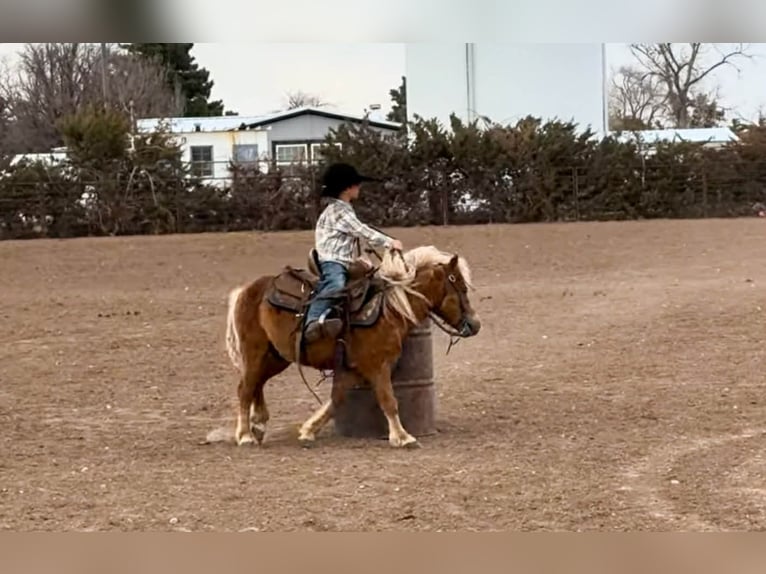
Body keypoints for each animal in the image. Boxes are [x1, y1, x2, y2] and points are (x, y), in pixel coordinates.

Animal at [224, 244, 482, 449]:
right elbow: (388, 400)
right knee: (245, 388)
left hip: (276, 356)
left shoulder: (352, 369)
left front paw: (308, 431)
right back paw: (245, 435)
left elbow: (336, 400)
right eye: (461, 288)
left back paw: (258, 425)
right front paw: (403, 437)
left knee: (257, 383)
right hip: (255, 351)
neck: (390, 308)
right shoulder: (377, 365)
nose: (475, 324)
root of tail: (247, 289)